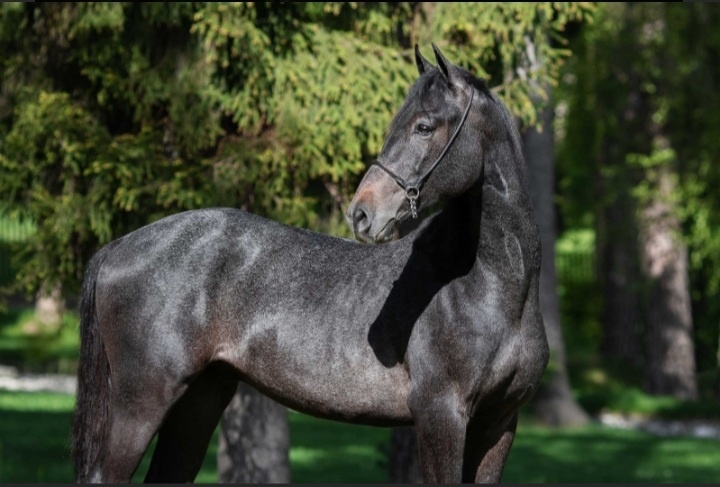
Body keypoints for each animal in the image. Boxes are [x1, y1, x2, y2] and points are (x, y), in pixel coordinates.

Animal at [72, 44, 548, 484]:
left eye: (424, 126)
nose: (361, 213)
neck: (490, 286)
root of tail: (118, 247)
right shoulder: (440, 415)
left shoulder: (499, 422)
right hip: (142, 402)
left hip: (199, 401)